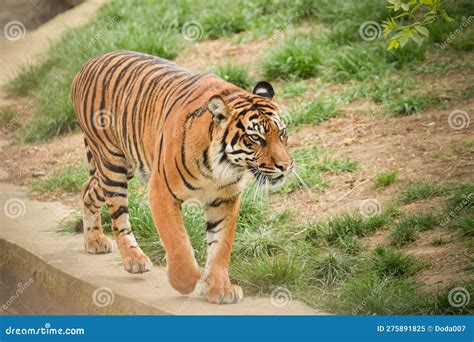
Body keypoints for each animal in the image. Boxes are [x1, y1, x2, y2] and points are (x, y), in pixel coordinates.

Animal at [70, 49, 292, 304]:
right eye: (256, 138)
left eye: (282, 133)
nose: (286, 166)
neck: (220, 168)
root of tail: (87, 63)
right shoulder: (161, 192)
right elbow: (177, 240)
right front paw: (187, 280)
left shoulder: (224, 200)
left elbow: (220, 246)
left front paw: (220, 288)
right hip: (113, 164)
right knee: (118, 218)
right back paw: (134, 259)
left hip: (123, 166)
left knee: (88, 188)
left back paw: (94, 240)